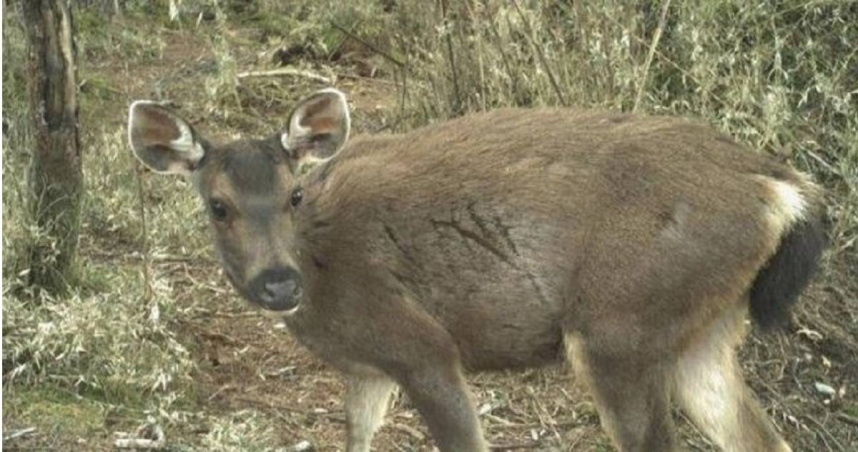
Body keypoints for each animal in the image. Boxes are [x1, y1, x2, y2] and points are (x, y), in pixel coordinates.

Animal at [127, 88, 825, 452]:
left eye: (294, 194)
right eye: (218, 205)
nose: (278, 283)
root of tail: (781, 191)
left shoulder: (420, 345)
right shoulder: (365, 370)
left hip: (620, 323)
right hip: (703, 329)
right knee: (762, 439)